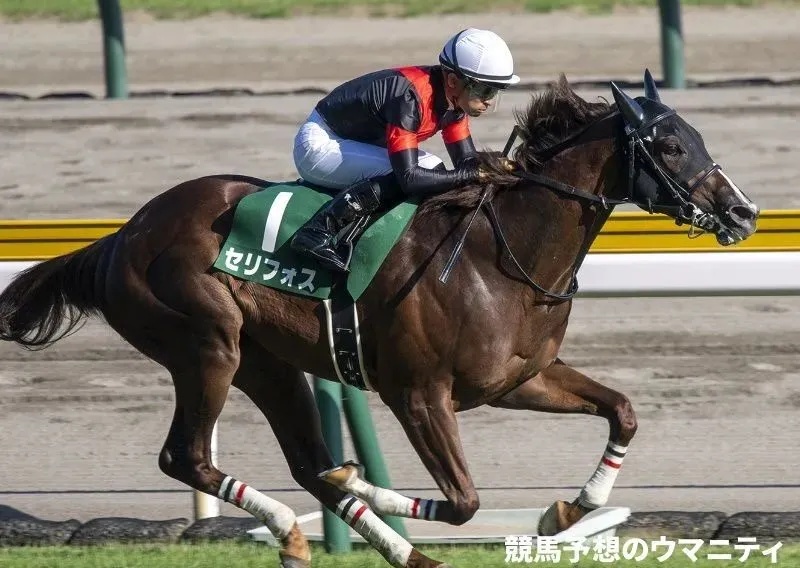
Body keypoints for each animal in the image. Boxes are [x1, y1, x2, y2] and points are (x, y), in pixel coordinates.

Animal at [0, 74, 760, 568]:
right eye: (669, 147)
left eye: (696, 136)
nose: (743, 211)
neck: (499, 254)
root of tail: (120, 236)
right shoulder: (419, 395)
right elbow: (462, 501)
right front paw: (366, 482)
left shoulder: (521, 380)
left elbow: (624, 410)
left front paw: (567, 509)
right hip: (207, 345)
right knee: (186, 456)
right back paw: (310, 524)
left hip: (268, 364)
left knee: (304, 463)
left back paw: (375, 548)